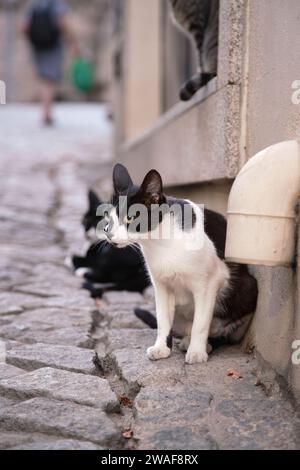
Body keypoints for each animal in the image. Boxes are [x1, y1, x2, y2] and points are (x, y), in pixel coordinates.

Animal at [101, 163, 258, 366]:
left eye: (130, 218)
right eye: (108, 216)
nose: (108, 232)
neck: (160, 243)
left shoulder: (209, 283)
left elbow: (201, 323)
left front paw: (197, 352)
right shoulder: (161, 286)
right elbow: (163, 320)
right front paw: (162, 348)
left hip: (247, 288)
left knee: (221, 329)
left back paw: (203, 344)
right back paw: (186, 340)